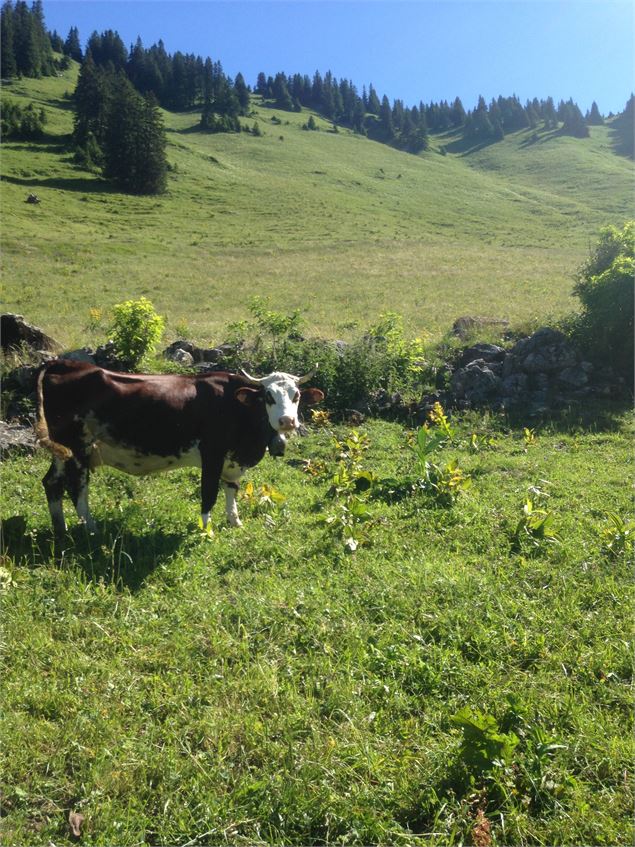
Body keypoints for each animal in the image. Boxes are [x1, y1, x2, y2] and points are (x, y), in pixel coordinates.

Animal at [34, 360, 322, 536]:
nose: (287, 421)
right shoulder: (212, 454)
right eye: (268, 396)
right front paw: (206, 529)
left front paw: (235, 521)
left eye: (296, 395)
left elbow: (231, 489)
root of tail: (62, 364)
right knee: (77, 488)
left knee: (52, 483)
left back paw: (61, 529)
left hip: (63, 452)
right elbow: (209, 493)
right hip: (78, 448)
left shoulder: (233, 460)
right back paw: (91, 529)